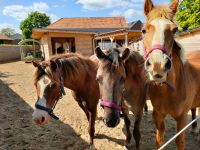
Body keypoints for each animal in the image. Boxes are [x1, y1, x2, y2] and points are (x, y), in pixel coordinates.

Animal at [142, 0, 200, 149]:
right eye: (144, 30)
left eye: (174, 30)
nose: (158, 66)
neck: (167, 91)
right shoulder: (157, 115)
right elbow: (159, 141)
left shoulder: (182, 118)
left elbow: (179, 142)